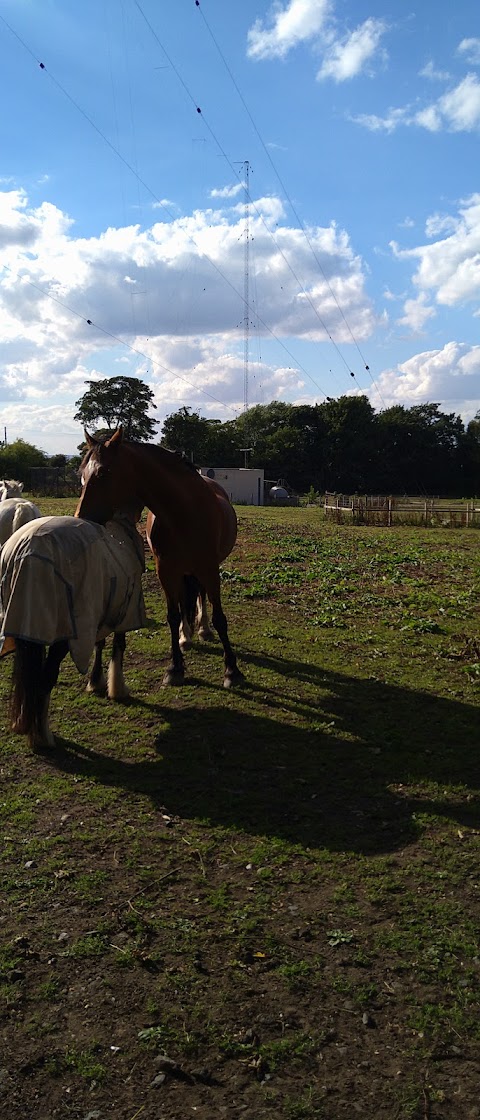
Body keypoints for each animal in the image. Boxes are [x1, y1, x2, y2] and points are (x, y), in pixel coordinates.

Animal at [0, 512, 145, 743]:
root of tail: (28, 551)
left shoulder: (101, 614)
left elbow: (100, 644)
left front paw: (96, 681)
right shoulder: (124, 613)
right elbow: (118, 646)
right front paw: (117, 687)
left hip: (28, 625)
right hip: (64, 633)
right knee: (45, 679)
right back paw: (43, 735)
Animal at [77, 430, 242, 685]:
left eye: (103, 472)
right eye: (81, 475)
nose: (80, 518)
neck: (183, 514)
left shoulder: (209, 569)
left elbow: (219, 617)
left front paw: (232, 670)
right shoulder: (166, 571)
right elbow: (173, 616)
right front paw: (175, 668)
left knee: (201, 596)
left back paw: (203, 630)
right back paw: (186, 636)